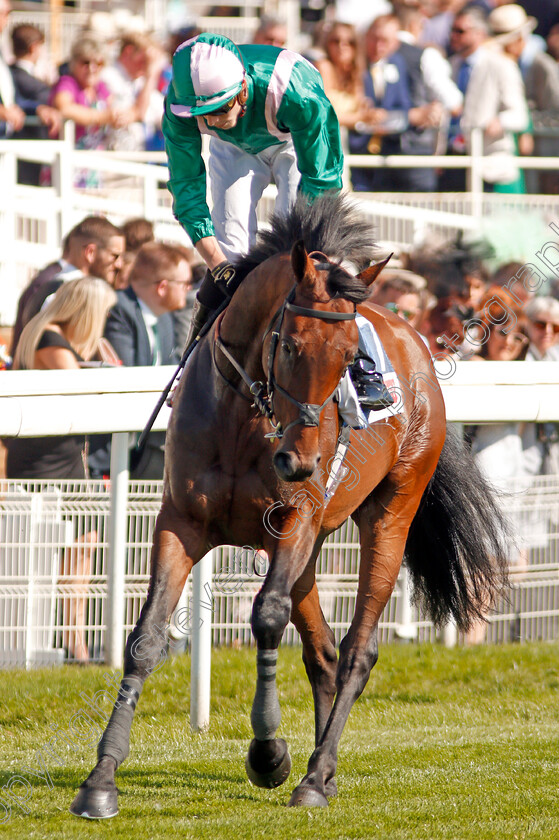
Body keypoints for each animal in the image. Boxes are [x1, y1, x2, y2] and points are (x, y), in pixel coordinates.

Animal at [69, 194, 508, 816]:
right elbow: (145, 638)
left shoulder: (294, 519)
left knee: (356, 651)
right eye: (292, 345)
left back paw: (314, 775)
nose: (300, 462)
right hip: (313, 542)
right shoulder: (182, 522)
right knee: (322, 650)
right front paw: (101, 778)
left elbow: (267, 617)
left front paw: (268, 752)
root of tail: (418, 342)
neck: (243, 419)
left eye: (350, 357)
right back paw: (323, 769)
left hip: (391, 513)